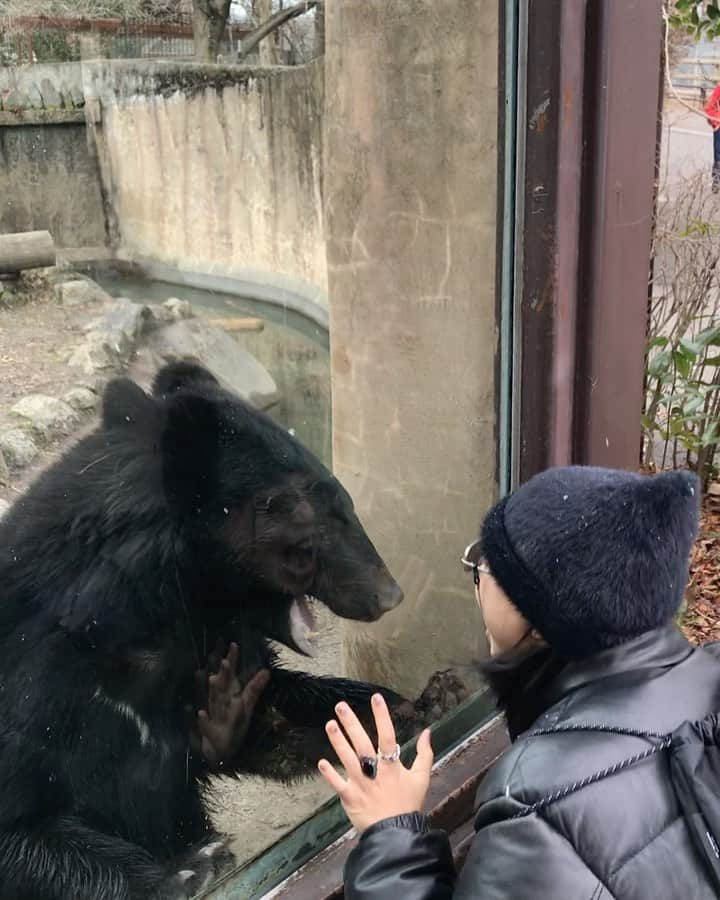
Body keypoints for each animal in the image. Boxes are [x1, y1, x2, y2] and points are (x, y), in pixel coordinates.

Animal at [0, 360, 404, 900]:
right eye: (316, 519)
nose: (388, 594)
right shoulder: (37, 691)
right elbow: (25, 824)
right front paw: (190, 868)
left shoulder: (205, 653)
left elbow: (264, 717)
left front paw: (404, 706)